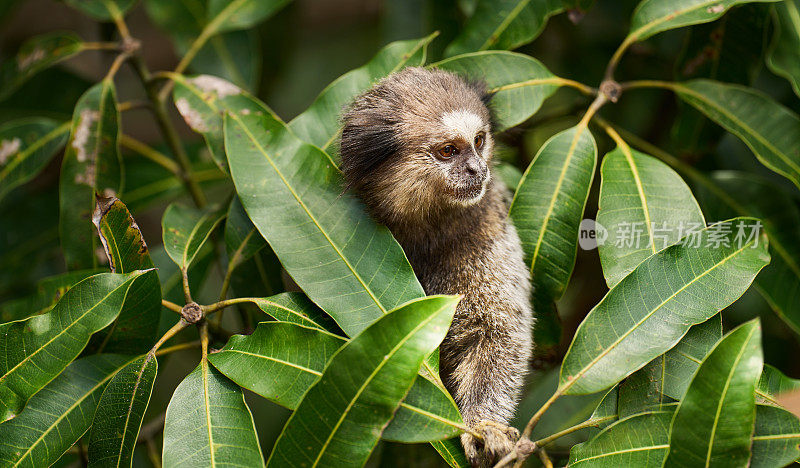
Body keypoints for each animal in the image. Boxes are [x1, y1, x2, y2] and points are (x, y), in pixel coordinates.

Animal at [340, 67, 536, 466]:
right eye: (449, 151)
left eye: (479, 141)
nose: (478, 168)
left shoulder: (488, 230)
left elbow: (497, 329)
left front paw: (484, 427)